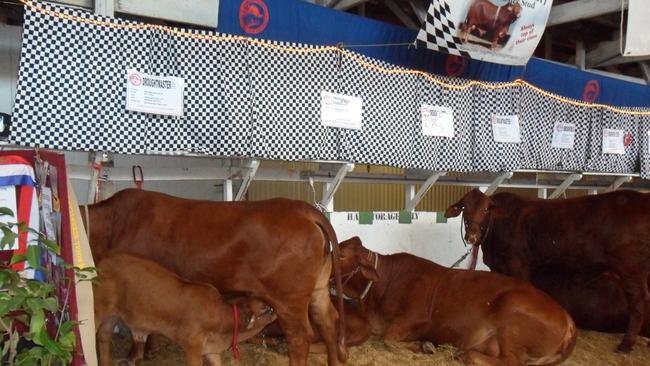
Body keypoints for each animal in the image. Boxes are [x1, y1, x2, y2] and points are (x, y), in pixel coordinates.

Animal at [93, 252, 276, 366]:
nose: (275, 310)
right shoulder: (193, 346)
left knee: (104, 336)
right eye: (265, 308)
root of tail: (106, 259)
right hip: (99, 310)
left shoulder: (210, 350)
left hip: (112, 316)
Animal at [336, 236, 576, 364]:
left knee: (511, 363)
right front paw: (426, 345)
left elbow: (388, 338)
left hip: (512, 313)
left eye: (341, 255)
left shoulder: (415, 315)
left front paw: (424, 345)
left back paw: (465, 355)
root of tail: (568, 318)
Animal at [446, 189, 650, 352]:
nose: (472, 236)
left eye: (486, 209)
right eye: (464, 208)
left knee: (638, 304)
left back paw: (626, 344)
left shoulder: (517, 263)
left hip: (630, 269)